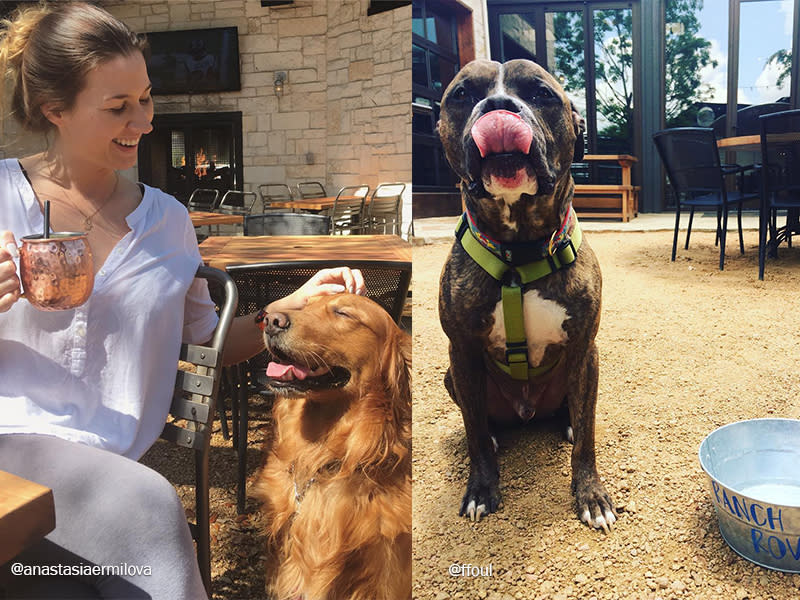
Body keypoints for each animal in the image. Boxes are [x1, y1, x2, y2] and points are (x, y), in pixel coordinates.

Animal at [440, 58, 616, 532]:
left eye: (541, 94)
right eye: (462, 94)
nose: (499, 106)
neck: (519, 254)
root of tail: (525, 410)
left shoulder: (584, 348)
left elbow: (587, 440)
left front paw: (591, 495)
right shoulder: (461, 352)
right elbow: (475, 438)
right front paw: (481, 489)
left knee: (576, 413)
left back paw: (568, 422)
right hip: (452, 376)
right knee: (480, 422)